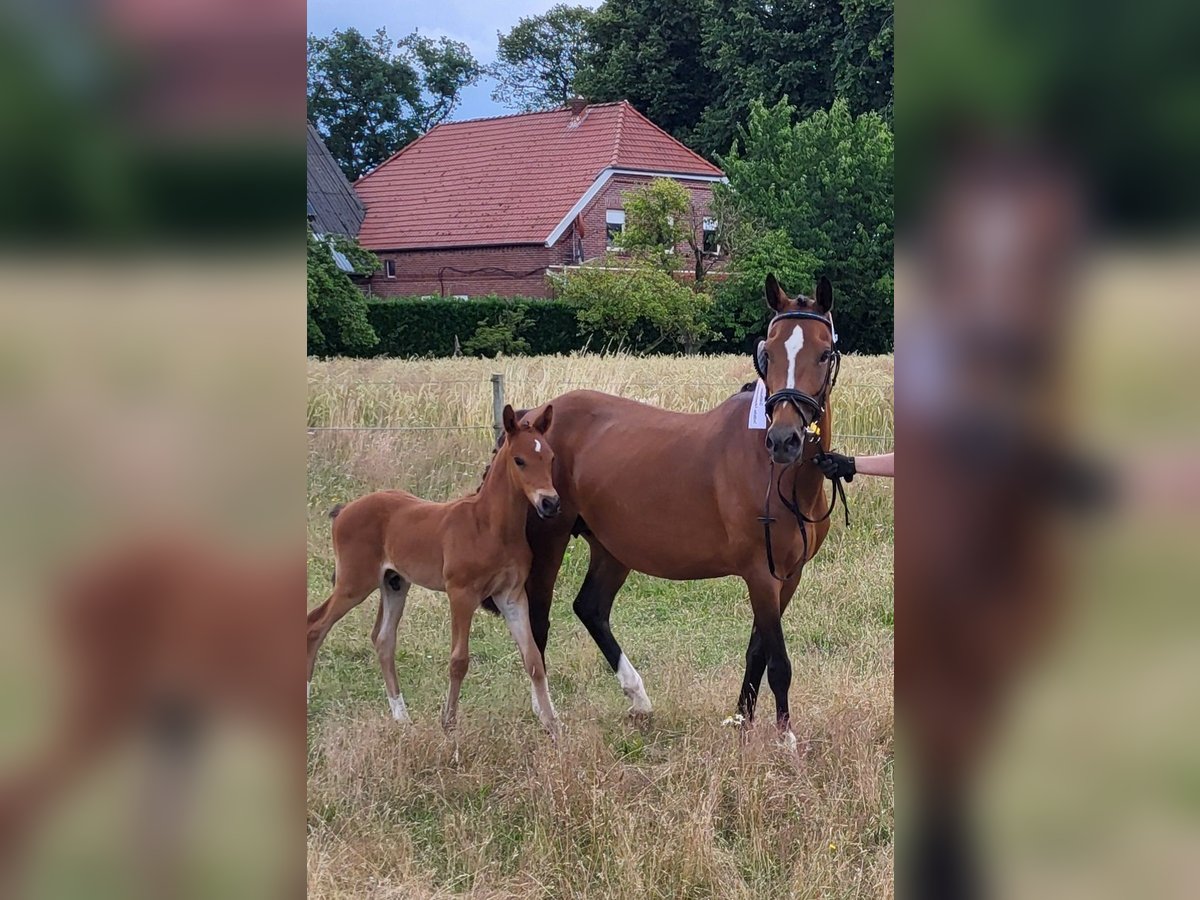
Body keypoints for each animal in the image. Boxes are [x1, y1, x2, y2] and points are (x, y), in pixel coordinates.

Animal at [304, 408, 556, 734]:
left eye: (550, 458)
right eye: (519, 460)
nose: (550, 503)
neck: (490, 526)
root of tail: (344, 509)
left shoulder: (510, 596)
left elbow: (533, 658)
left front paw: (553, 726)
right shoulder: (461, 593)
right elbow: (459, 660)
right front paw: (448, 724)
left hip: (394, 583)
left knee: (383, 639)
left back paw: (402, 717)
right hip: (354, 583)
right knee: (315, 626)